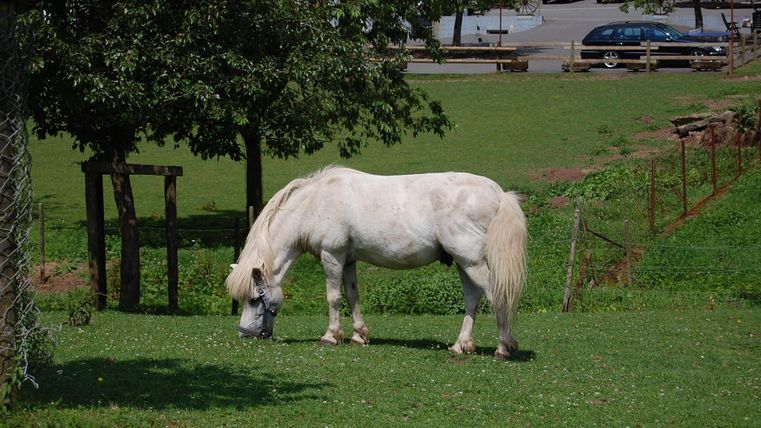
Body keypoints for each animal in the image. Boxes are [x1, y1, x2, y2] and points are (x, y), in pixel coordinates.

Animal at [226, 167, 527, 359]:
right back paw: (461, 345)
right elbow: (352, 296)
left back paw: (503, 348)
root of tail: (498, 193)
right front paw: (359, 336)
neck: (313, 203)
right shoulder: (348, 260)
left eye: (254, 299)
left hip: (472, 261)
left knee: (494, 295)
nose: (245, 334)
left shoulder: (332, 256)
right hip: (465, 263)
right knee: (472, 298)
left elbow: (333, 297)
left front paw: (331, 336)